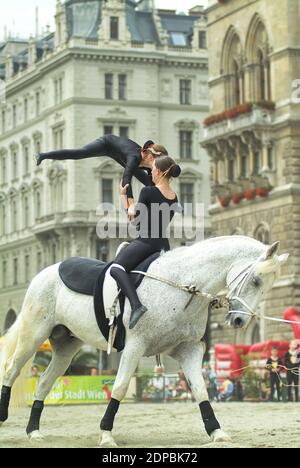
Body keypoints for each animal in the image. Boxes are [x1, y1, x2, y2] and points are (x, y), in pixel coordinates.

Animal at [0, 238, 288, 446]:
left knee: (44, 382)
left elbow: (201, 390)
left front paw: (216, 431)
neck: (180, 285)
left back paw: (34, 431)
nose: (240, 320)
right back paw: (4, 417)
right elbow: (119, 387)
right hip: (33, 335)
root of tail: (47, 270)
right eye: (256, 280)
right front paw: (106, 434)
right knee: (12, 369)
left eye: (268, 285)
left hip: (66, 347)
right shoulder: (134, 347)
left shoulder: (190, 350)